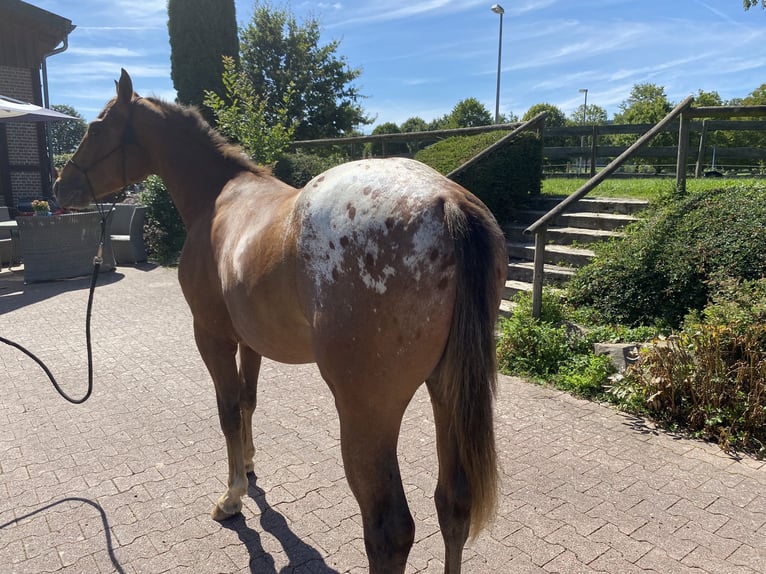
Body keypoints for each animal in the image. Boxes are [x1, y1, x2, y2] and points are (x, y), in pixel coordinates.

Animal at [55, 71, 510, 574]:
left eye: (96, 127)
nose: (60, 185)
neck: (219, 198)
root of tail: (446, 202)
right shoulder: (250, 341)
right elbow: (248, 402)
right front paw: (249, 467)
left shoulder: (210, 335)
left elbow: (228, 411)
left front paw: (232, 496)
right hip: (446, 390)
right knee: (454, 505)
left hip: (367, 411)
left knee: (389, 531)